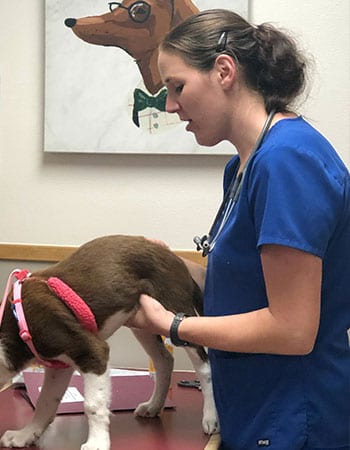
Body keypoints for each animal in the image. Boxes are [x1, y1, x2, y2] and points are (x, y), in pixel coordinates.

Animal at [0, 236, 217, 450]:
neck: (15, 322)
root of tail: (177, 260)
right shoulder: (59, 365)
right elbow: (46, 400)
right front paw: (26, 434)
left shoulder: (91, 350)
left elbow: (93, 404)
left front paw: (97, 442)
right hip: (143, 324)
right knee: (164, 360)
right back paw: (153, 405)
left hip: (175, 311)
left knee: (204, 366)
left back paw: (211, 416)